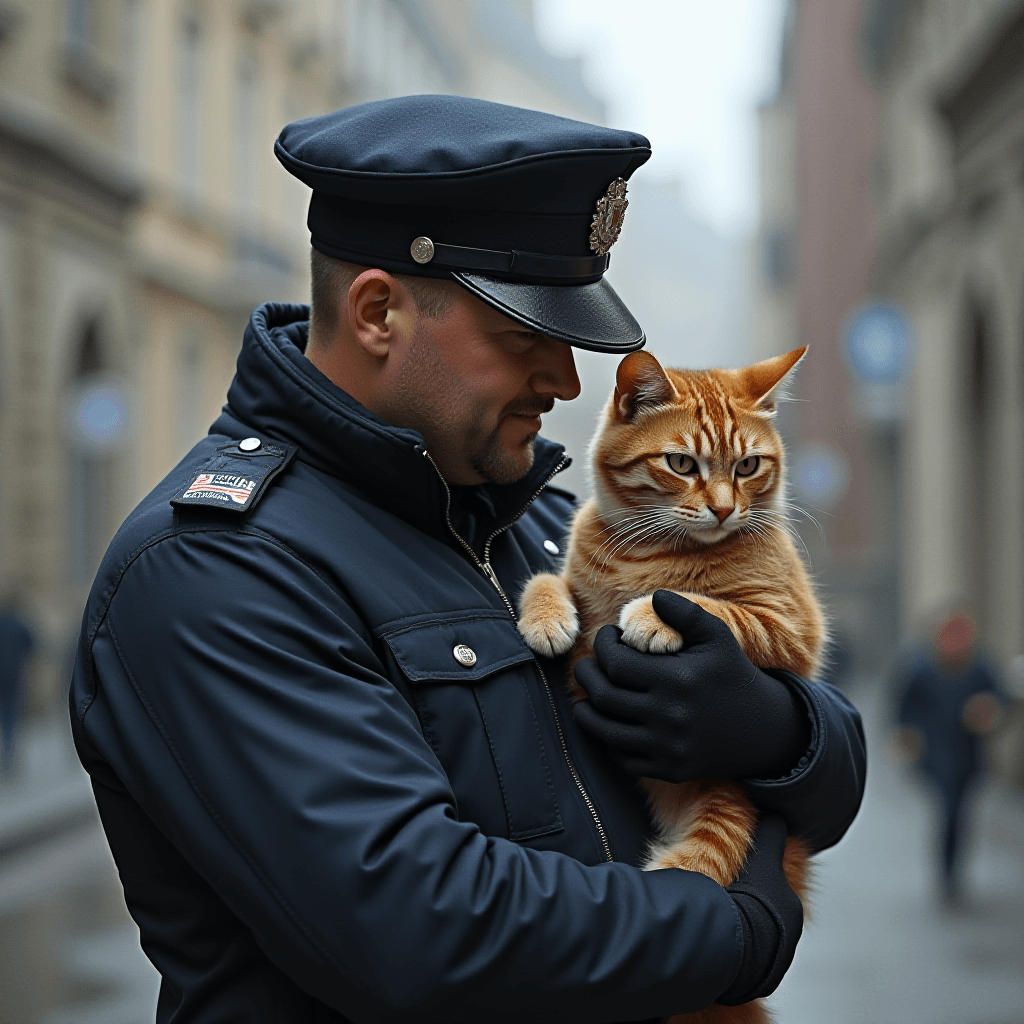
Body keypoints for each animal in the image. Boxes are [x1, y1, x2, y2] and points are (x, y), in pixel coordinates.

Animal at [520, 348, 823, 1019]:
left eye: (748, 466)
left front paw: (652, 614)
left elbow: (717, 611)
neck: (649, 555)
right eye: (682, 464)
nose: (724, 509)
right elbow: (548, 578)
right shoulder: (574, 572)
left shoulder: (791, 626)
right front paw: (546, 618)